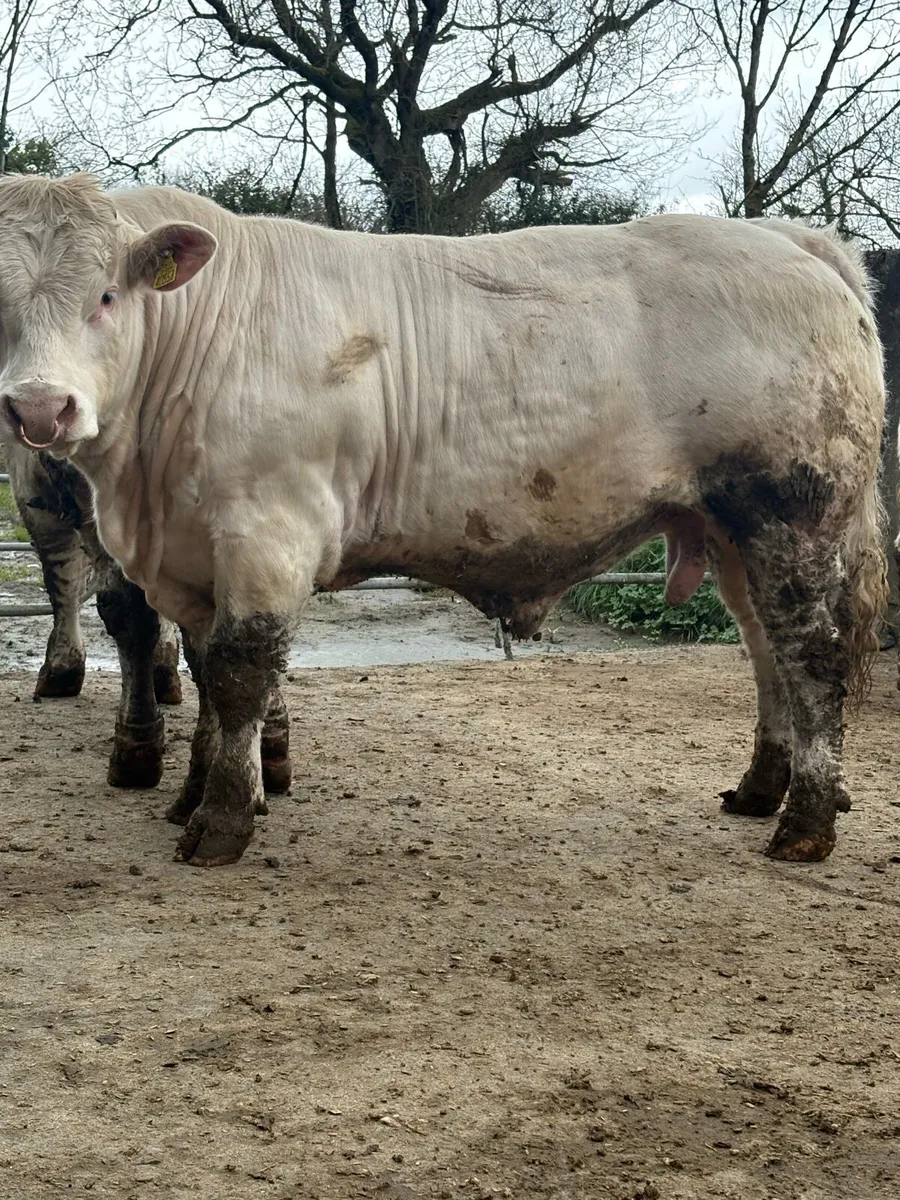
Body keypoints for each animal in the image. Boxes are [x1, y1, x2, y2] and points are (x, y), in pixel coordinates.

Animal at [0, 173, 887, 867]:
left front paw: (218, 824)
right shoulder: (192, 556)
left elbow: (240, 673)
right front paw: (191, 796)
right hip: (734, 530)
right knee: (764, 646)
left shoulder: (267, 533)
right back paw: (761, 788)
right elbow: (206, 672)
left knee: (812, 651)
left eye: (105, 296)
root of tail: (786, 236)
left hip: (793, 509)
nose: (39, 408)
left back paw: (805, 823)